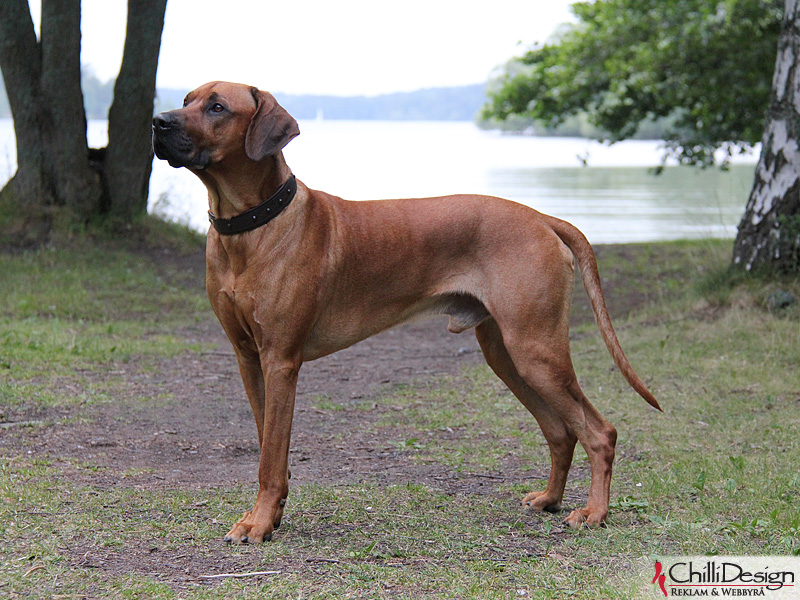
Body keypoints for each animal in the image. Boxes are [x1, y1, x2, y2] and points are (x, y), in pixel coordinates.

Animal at [152, 79, 664, 544]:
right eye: (186, 100)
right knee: (560, 431)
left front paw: (258, 524)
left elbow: (271, 457)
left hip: (536, 350)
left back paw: (594, 513)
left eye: (217, 107)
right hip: (506, 354)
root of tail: (542, 218)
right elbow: (266, 446)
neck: (251, 227)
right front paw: (270, 515)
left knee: (600, 432)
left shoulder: (280, 360)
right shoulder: (247, 357)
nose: (158, 122)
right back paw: (550, 499)